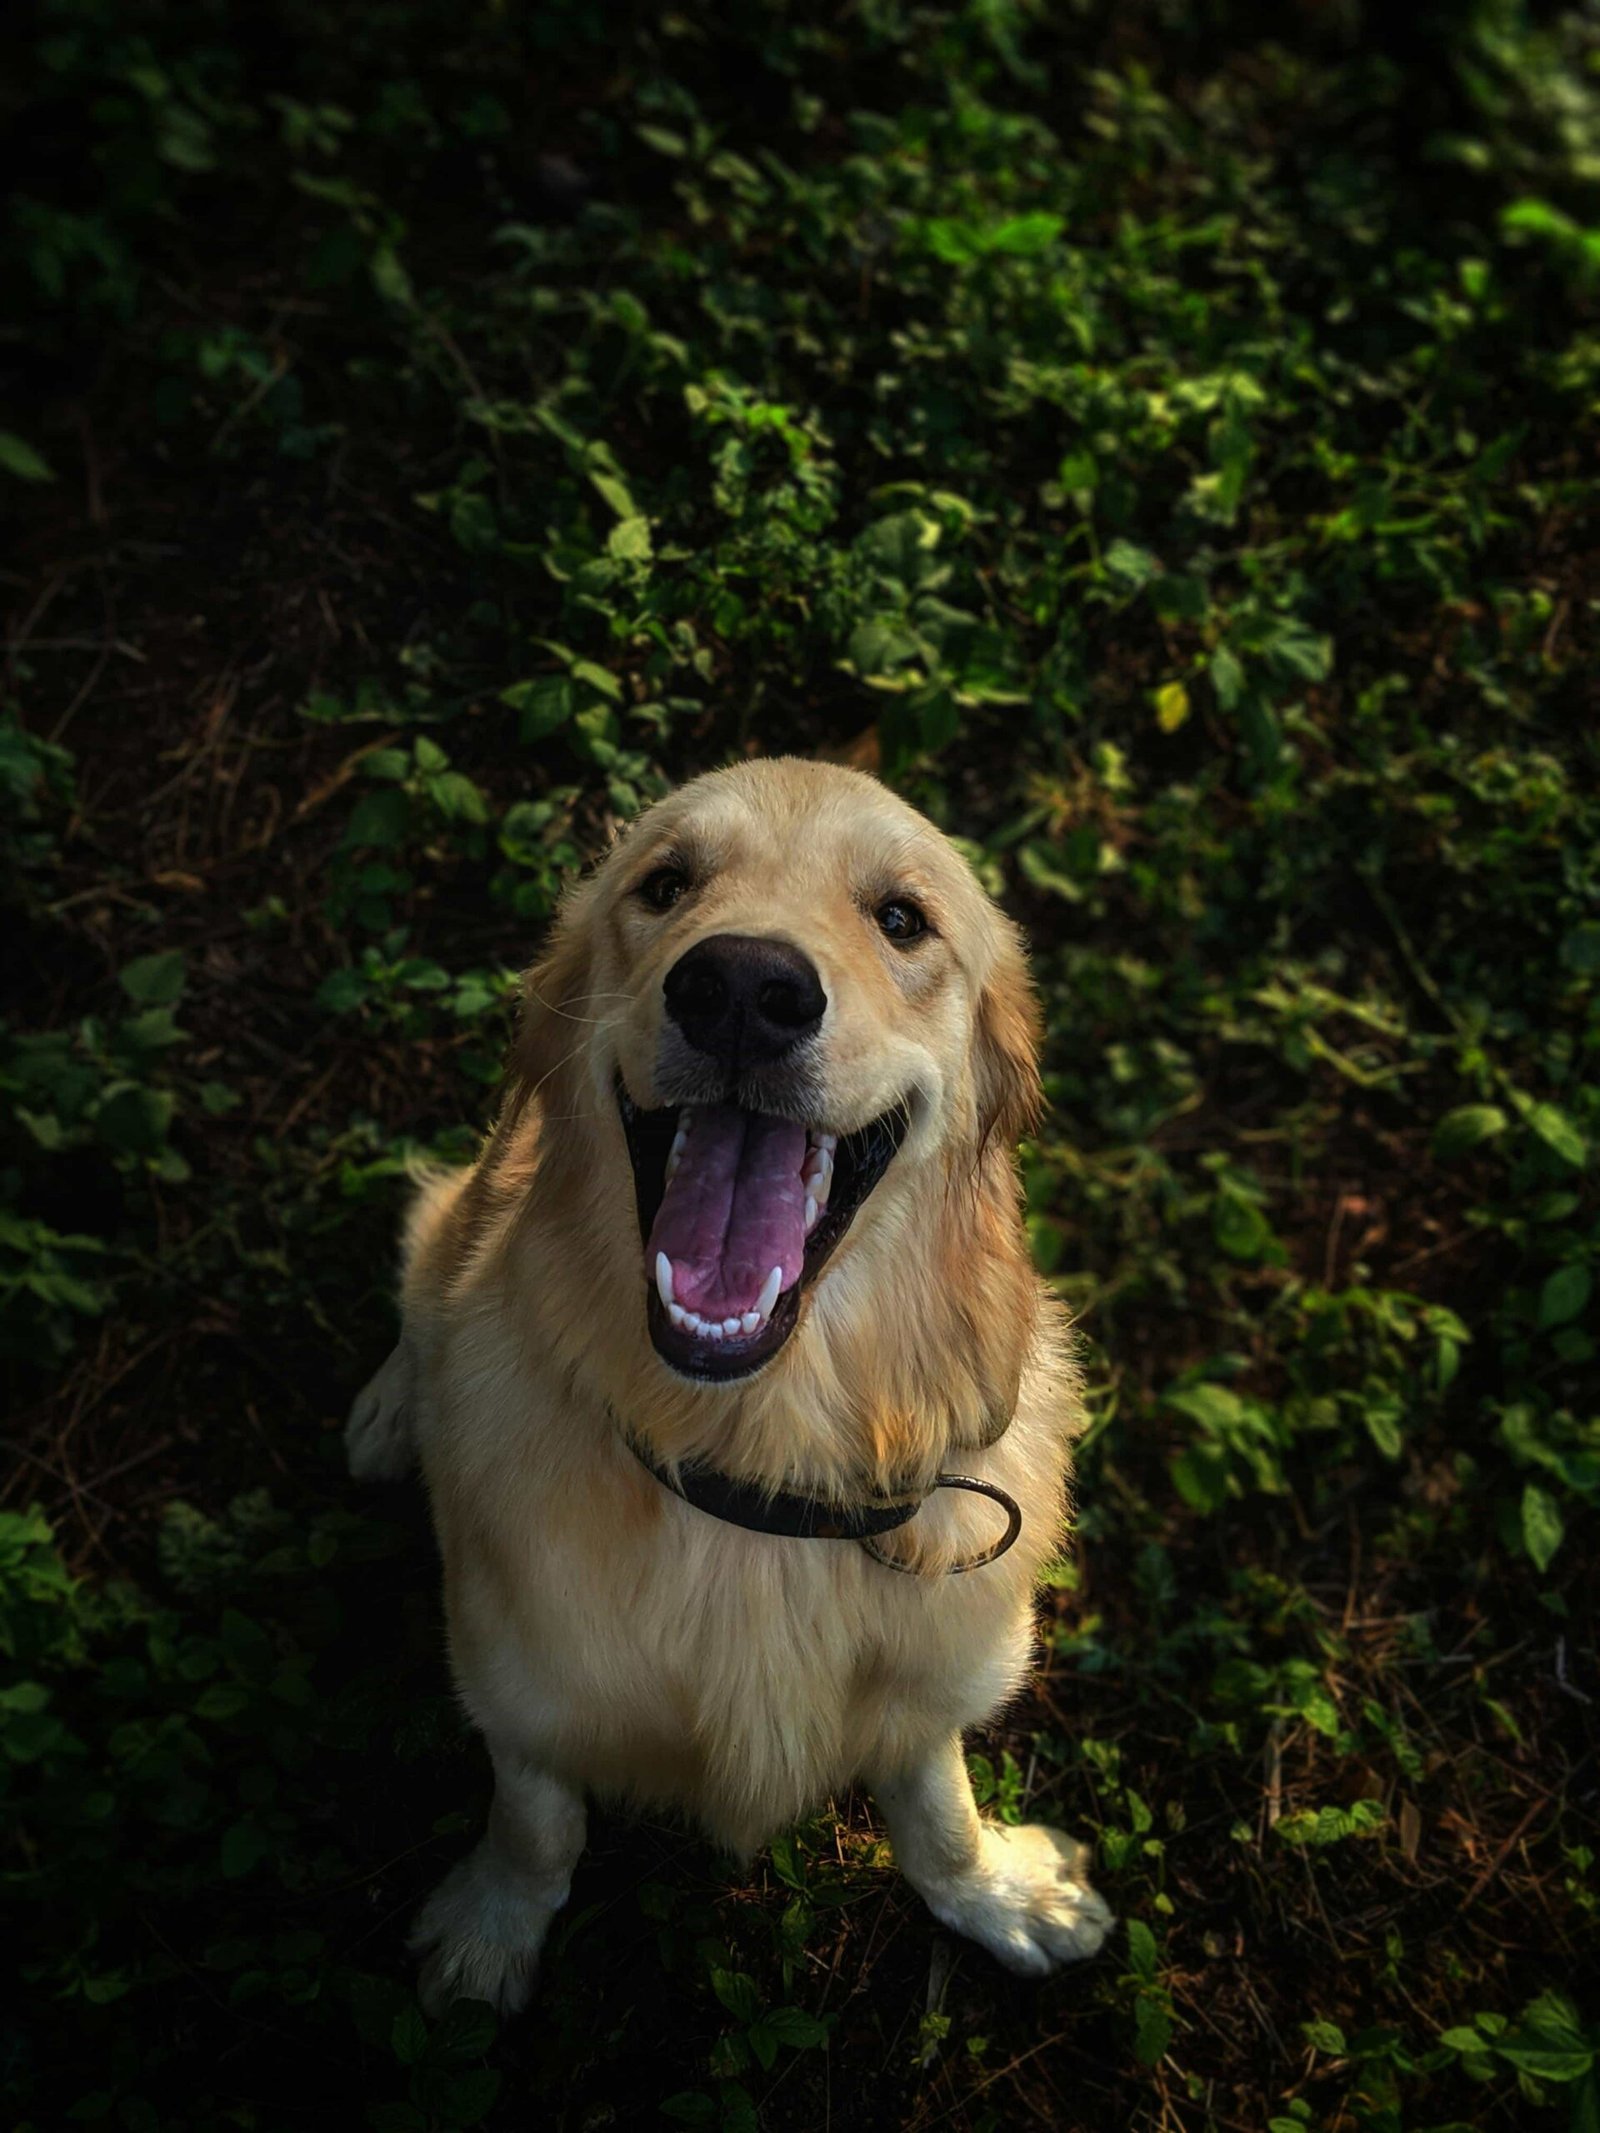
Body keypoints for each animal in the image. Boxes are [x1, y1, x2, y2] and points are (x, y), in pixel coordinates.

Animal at [345, 759, 1109, 2005]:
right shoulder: (512, 1672)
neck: (755, 1464)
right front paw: (492, 1928)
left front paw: (995, 1895)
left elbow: (935, 1805)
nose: (744, 987)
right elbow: (537, 1819)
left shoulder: (937, 1674)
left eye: (902, 918)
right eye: (665, 884)